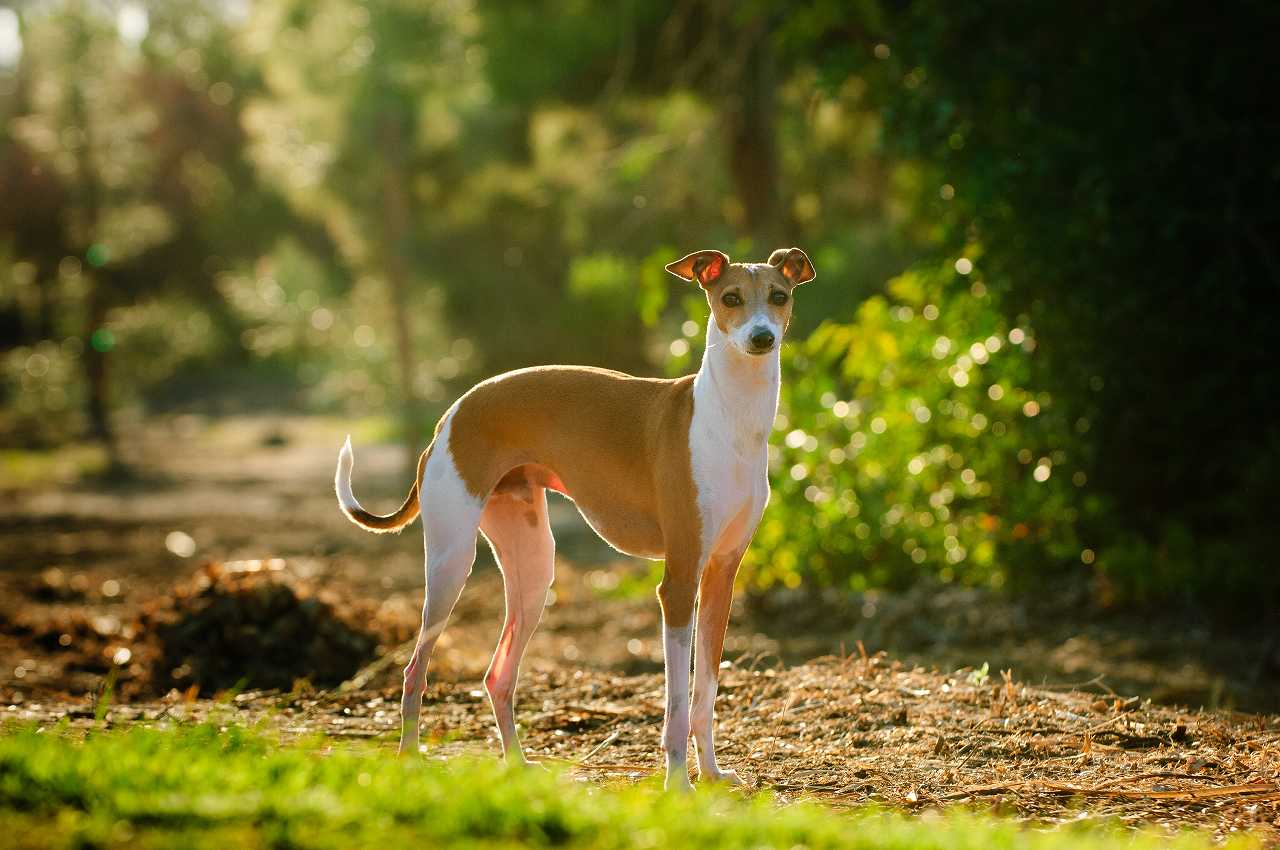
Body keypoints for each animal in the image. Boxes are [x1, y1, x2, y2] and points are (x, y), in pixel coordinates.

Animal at [337, 245, 819, 788]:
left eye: (778, 296)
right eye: (730, 297)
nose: (761, 338)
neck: (728, 419)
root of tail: (450, 414)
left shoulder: (720, 576)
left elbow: (706, 693)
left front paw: (712, 773)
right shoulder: (677, 583)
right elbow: (676, 701)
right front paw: (677, 783)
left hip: (533, 569)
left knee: (498, 675)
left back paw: (517, 763)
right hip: (450, 563)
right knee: (414, 670)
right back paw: (410, 759)